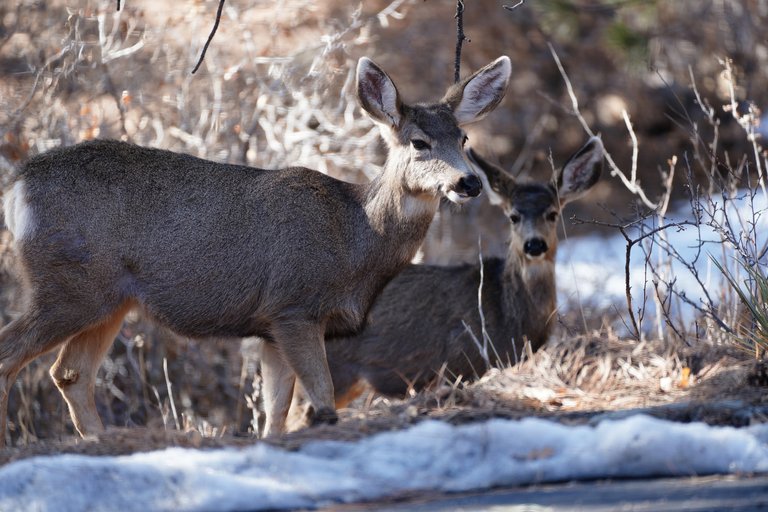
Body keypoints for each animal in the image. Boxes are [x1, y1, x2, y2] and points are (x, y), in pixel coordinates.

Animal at [0, 54, 512, 442]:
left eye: (464, 137)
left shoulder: (269, 325)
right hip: (67, 284)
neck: (355, 237)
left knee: (70, 373)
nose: (468, 182)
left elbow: (276, 412)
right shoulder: (295, 305)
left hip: (109, 298)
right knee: (13, 355)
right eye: (419, 142)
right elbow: (321, 399)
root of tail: (18, 185)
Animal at [284, 135, 604, 424]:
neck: (508, 313)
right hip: (338, 367)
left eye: (552, 214)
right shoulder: (461, 361)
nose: (534, 245)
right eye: (513, 216)